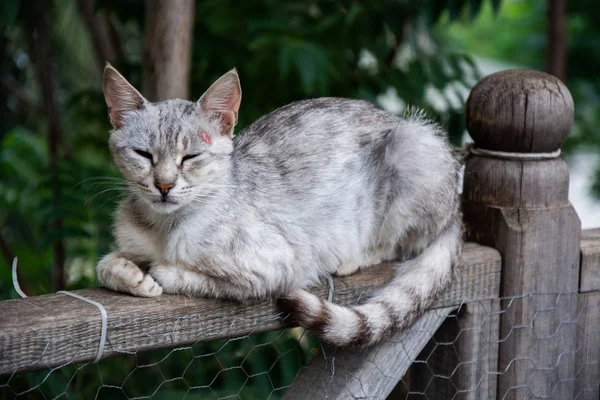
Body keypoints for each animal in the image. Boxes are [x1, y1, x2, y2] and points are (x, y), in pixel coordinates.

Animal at [97, 65, 464, 346]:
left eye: (191, 157)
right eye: (143, 154)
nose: (164, 185)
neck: (163, 229)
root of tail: (456, 210)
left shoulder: (276, 266)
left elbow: (204, 279)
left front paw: (158, 272)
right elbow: (104, 266)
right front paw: (128, 274)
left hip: (414, 146)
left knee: (402, 244)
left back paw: (353, 258)